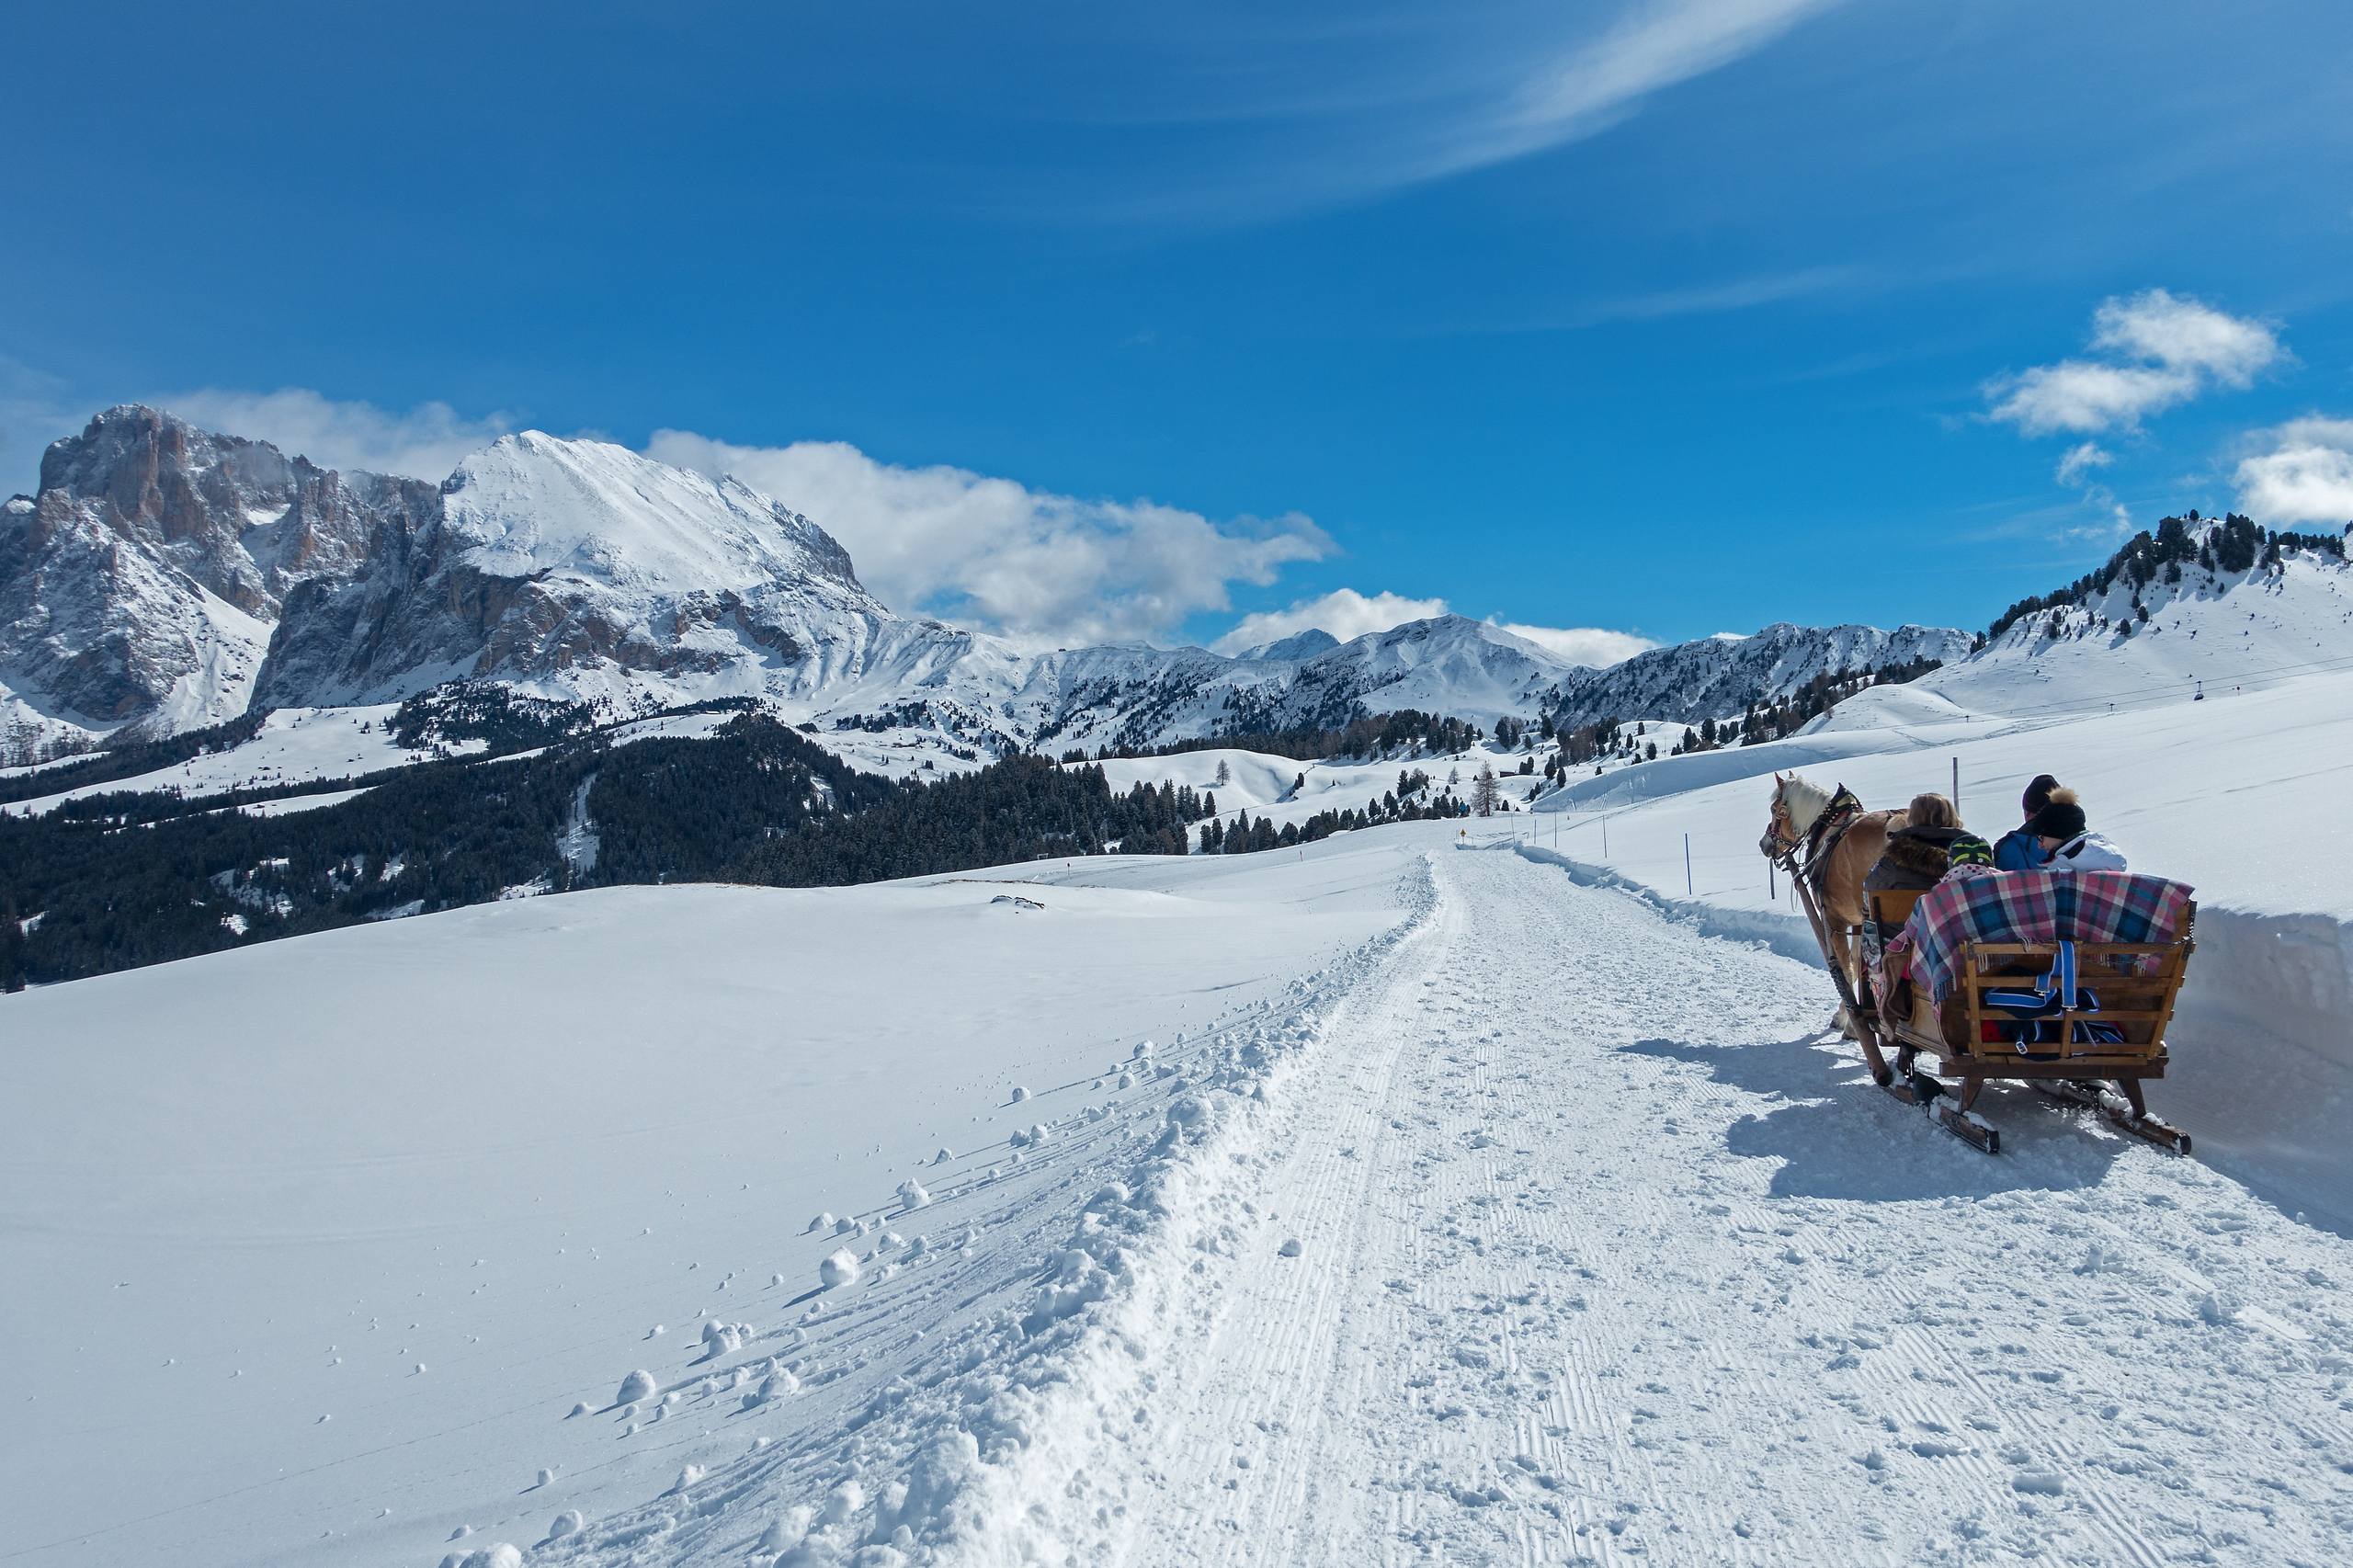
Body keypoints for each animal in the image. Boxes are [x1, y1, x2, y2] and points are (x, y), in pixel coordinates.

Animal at [1769, 767, 1910, 1030]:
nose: (1764, 843)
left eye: (1774, 809)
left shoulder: (1835, 919)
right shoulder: (1857, 920)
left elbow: (1846, 968)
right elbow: (1855, 961)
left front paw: (1846, 1019)